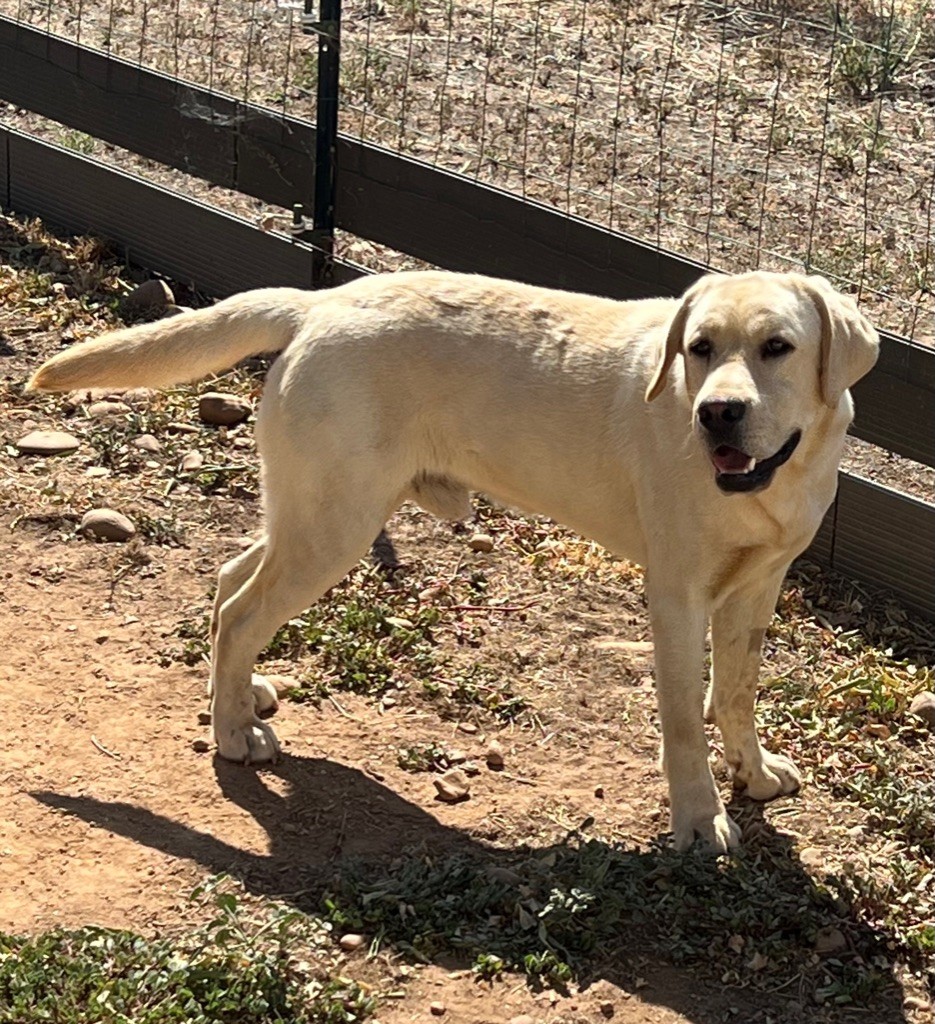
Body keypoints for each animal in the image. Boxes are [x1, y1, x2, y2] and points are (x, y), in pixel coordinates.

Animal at [29, 268, 876, 851]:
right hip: (334, 526)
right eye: (698, 349)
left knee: (230, 580)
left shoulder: (755, 591)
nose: (716, 413)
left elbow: (733, 695)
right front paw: (699, 821)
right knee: (240, 612)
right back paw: (233, 736)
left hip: (310, 511)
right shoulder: (675, 598)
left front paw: (753, 774)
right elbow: (681, 724)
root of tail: (319, 301)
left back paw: (238, 699)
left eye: (776, 348)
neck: (775, 477)